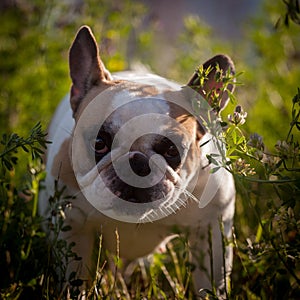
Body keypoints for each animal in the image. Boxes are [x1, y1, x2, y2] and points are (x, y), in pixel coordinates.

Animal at [39, 26, 237, 298]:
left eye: (172, 150)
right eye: (99, 142)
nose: (138, 162)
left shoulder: (211, 232)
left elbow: (211, 282)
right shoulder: (72, 227)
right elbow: (74, 278)